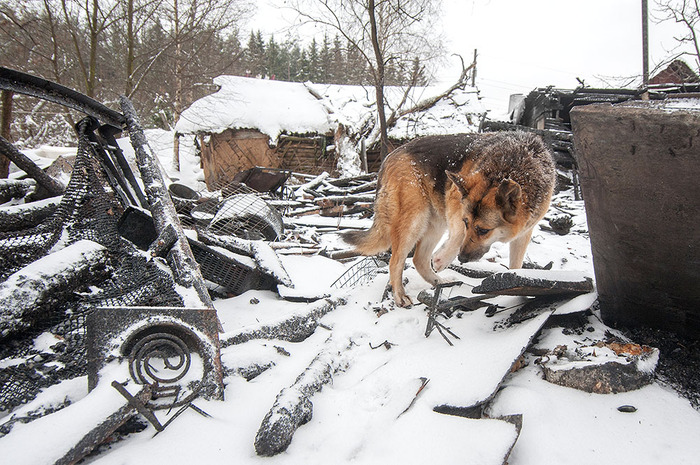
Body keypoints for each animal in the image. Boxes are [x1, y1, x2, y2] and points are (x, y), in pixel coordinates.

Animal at [342, 130, 556, 306]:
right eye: (467, 223)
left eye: (484, 231)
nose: (462, 258)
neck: (514, 165)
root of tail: (389, 156)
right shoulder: (454, 199)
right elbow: (458, 235)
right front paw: (443, 258)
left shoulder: (524, 232)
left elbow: (515, 266)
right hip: (415, 220)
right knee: (395, 261)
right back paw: (400, 295)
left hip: (434, 223)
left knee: (419, 259)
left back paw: (438, 282)